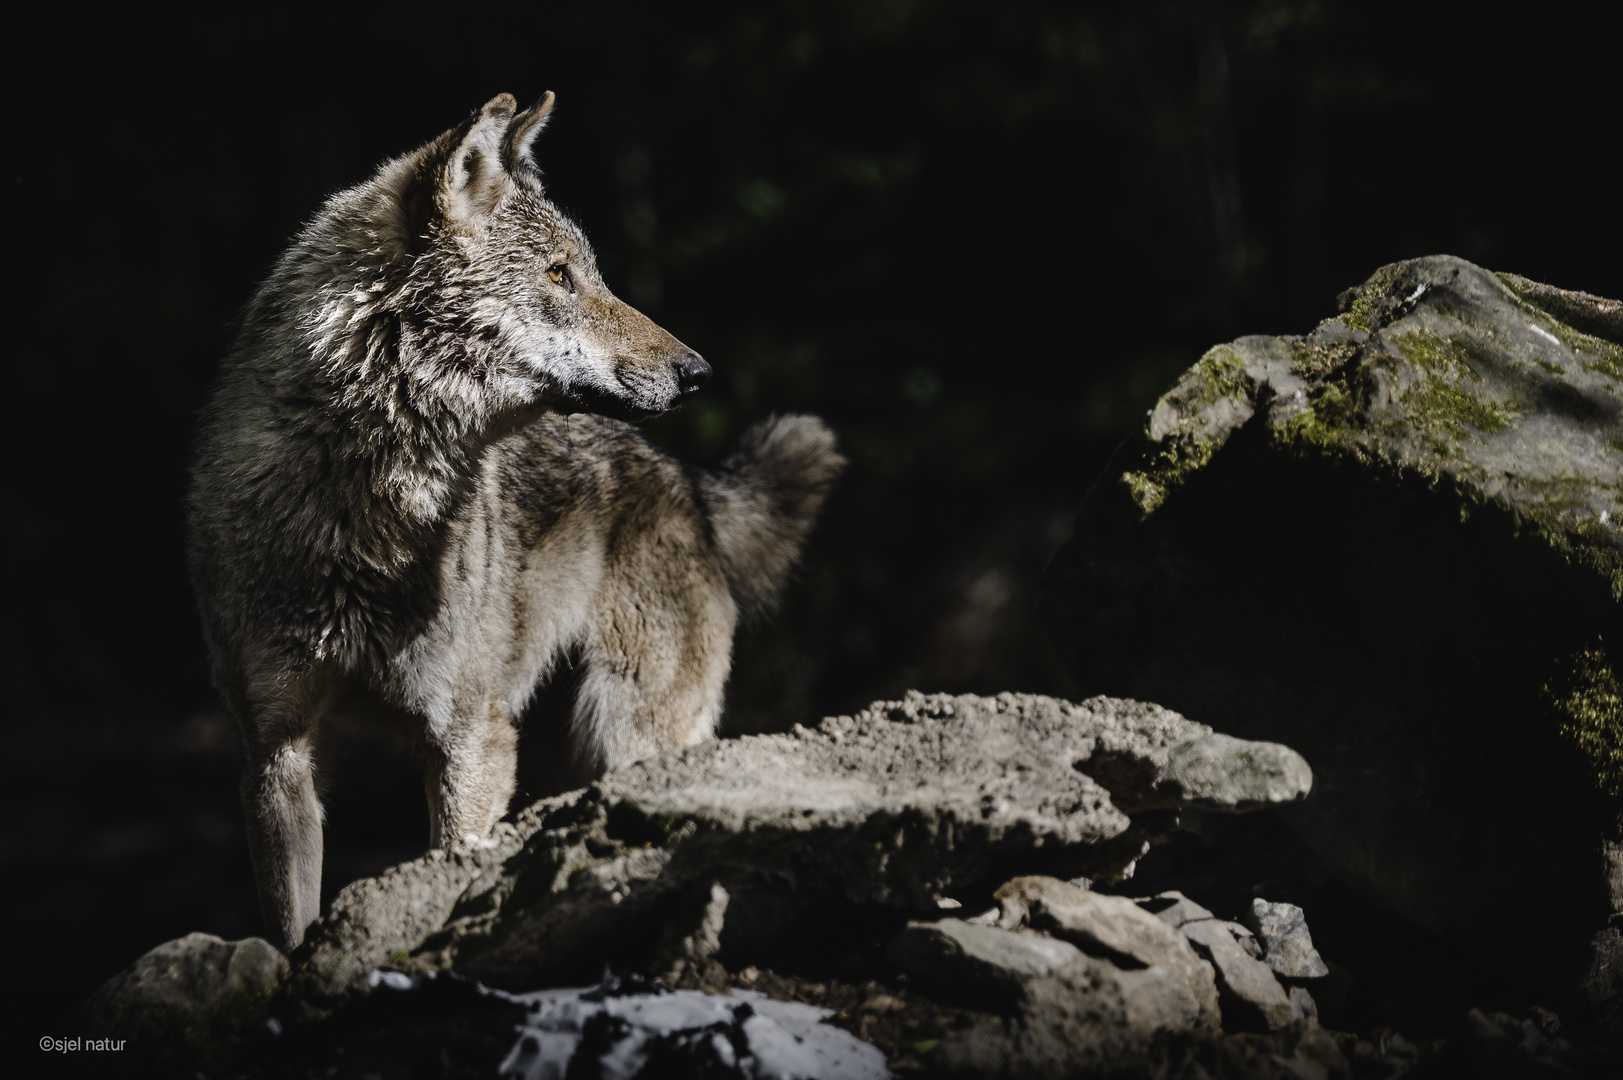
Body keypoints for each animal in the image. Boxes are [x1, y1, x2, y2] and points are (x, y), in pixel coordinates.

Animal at [188, 94, 843, 954]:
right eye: (559, 275)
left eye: (587, 271)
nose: (698, 372)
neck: (361, 511)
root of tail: (690, 486)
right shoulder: (275, 752)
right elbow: (291, 929)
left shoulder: (470, 738)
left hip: (631, 740)